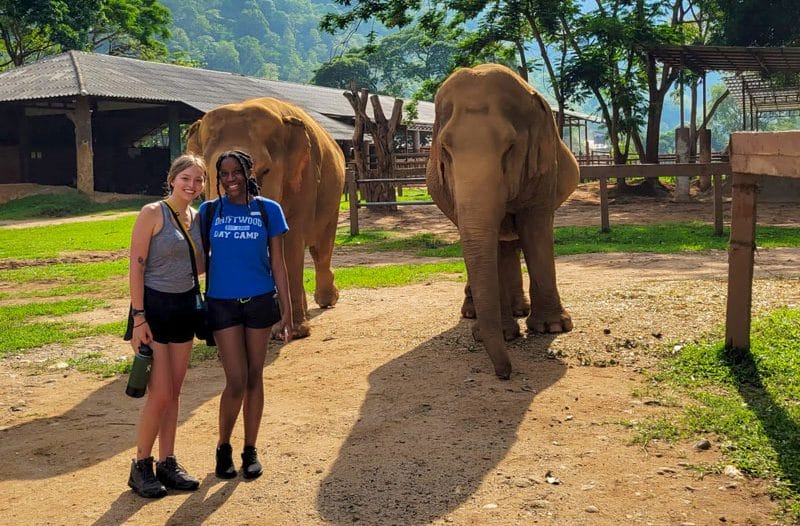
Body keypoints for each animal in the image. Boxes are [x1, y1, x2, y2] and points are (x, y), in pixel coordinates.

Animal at [191, 97, 346, 340]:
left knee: (321, 249)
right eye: (206, 173)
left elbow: (289, 241)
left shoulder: (305, 177)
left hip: (334, 199)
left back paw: (327, 301)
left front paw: (294, 331)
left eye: (265, 171)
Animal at [424, 64, 580, 380]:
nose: (505, 373)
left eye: (510, 147)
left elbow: (535, 229)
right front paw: (499, 334)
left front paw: (552, 328)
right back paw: (475, 312)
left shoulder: (544, 165)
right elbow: (489, 241)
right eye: (445, 149)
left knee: (514, 242)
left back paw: (521, 309)